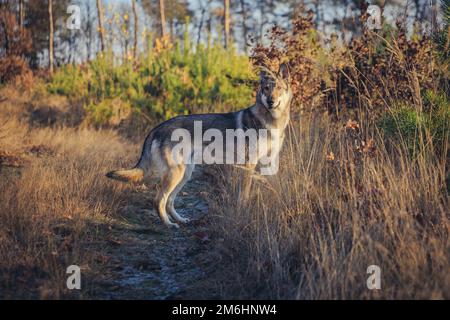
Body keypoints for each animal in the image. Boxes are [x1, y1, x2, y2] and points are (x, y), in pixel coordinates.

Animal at [107, 63, 294, 228]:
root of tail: (157, 128)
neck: (272, 122)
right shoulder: (249, 165)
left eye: (278, 88)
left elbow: (271, 189)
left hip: (185, 174)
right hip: (176, 174)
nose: (270, 101)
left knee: (169, 201)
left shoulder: (268, 163)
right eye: (267, 88)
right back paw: (168, 224)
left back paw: (181, 220)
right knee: (159, 200)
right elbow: (244, 196)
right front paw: (245, 210)